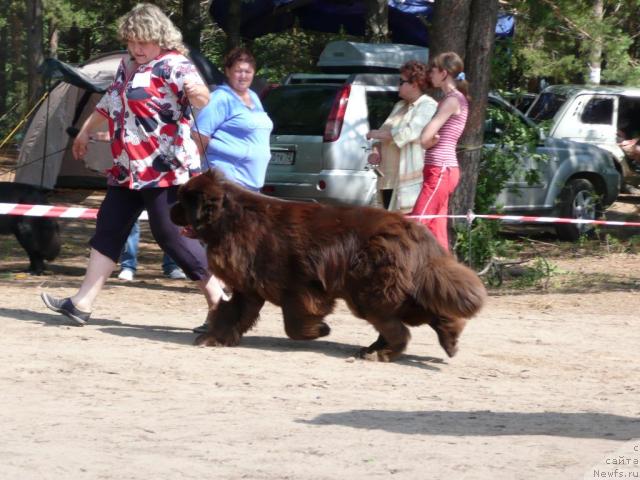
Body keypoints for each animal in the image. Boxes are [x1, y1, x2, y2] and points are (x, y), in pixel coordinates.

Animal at [170, 171, 484, 362]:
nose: (170, 209)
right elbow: (232, 313)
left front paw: (319, 330)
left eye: (183, 201)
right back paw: (446, 340)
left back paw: (380, 354)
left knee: (400, 329)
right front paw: (214, 338)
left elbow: (294, 324)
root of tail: (414, 230)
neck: (232, 220)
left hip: (370, 292)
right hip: (393, 291)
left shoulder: (298, 286)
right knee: (426, 314)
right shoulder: (248, 288)